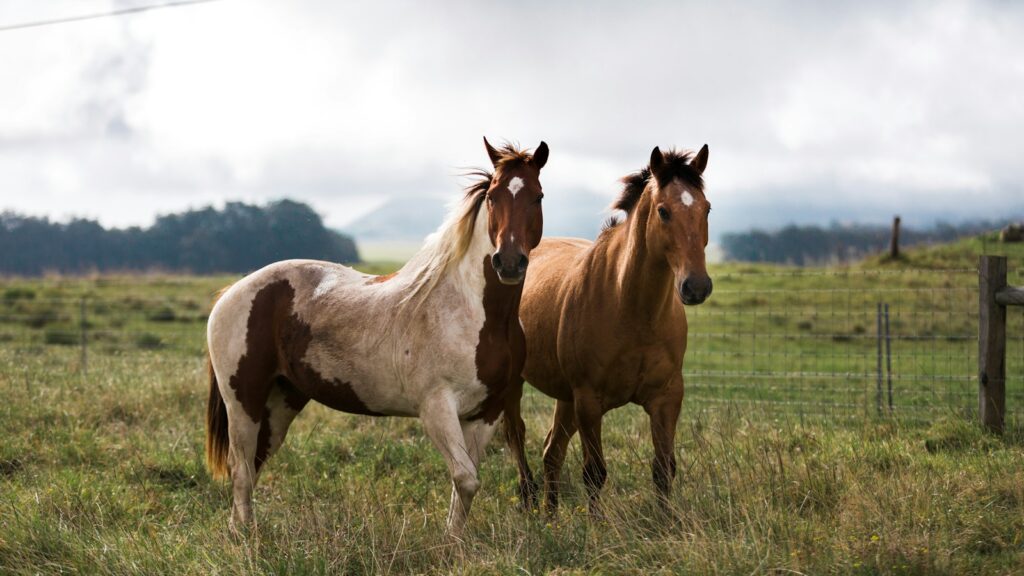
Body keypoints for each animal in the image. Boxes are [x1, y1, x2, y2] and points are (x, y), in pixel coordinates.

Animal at [205, 138, 549, 536]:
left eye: (538, 196)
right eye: (493, 196)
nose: (508, 262)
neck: (478, 316)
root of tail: (232, 291)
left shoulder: (487, 413)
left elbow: (466, 483)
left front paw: (456, 541)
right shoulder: (436, 408)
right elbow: (465, 479)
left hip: (281, 402)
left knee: (254, 464)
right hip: (242, 401)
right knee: (241, 468)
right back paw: (245, 537)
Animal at [502, 144, 712, 514]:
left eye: (707, 208)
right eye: (664, 211)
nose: (696, 286)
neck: (632, 310)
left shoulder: (667, 397)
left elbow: (664, 468)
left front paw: (666, 522)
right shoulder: (589, 401)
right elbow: (595, 473)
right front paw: (596, 526)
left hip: (566, 397)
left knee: (552, 452)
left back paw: (551, 517)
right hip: (520, 385)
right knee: (518, 436)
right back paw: (529, 503)